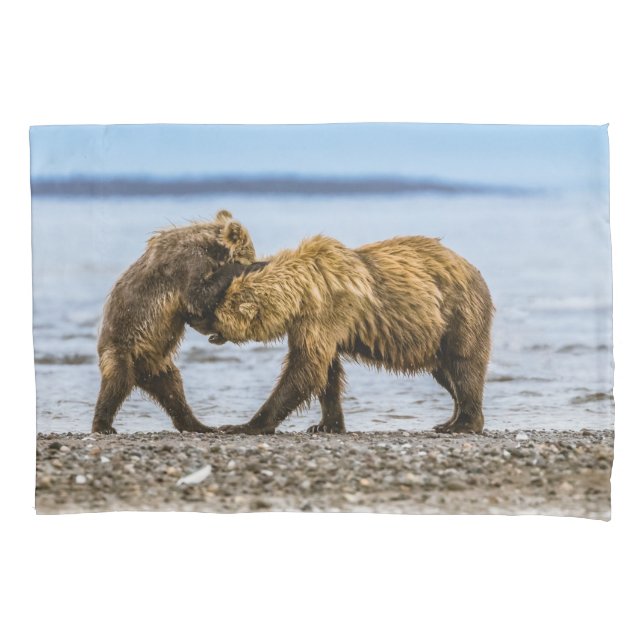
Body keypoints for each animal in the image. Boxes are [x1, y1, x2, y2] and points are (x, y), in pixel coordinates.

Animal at [91, 210, 256, 434]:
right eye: (251, 254)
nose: (255, 260)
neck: (210, 248)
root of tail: (140, 374)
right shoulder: (188, 263)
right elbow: (197, 296)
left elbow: (195, 308)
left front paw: (218, 334)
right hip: (121, 347)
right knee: (117, 382)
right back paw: (103, 425)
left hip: (157, 363)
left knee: (173, 390)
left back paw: (199, 425)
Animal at [187, 234, 494, 435]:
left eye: (210, 306)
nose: (190, 318)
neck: (301, 292)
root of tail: (473, 269)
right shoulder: (311, 323)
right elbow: (326, 372)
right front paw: (325, 425)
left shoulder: (328, 311)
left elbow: (305, 368)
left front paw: (243, 425)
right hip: (436, 337)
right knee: (445, 373)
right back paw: (450, 420)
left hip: (458, 314)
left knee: (464, 365)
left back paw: (464, 424)